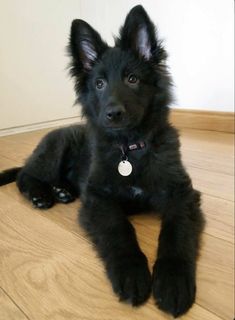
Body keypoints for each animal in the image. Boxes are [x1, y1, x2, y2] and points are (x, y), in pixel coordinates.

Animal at [0, 5, 205, 318]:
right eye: (99, 83)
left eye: (132, 79)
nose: (113, 113)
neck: (129, 150)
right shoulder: (98, 198)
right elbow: (118, 229)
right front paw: (132, 273)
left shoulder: (182, 194)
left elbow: (176, 232)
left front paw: (173, 281)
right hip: (56, 146)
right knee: (25, 175)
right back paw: (41, 194)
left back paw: (62, 191)